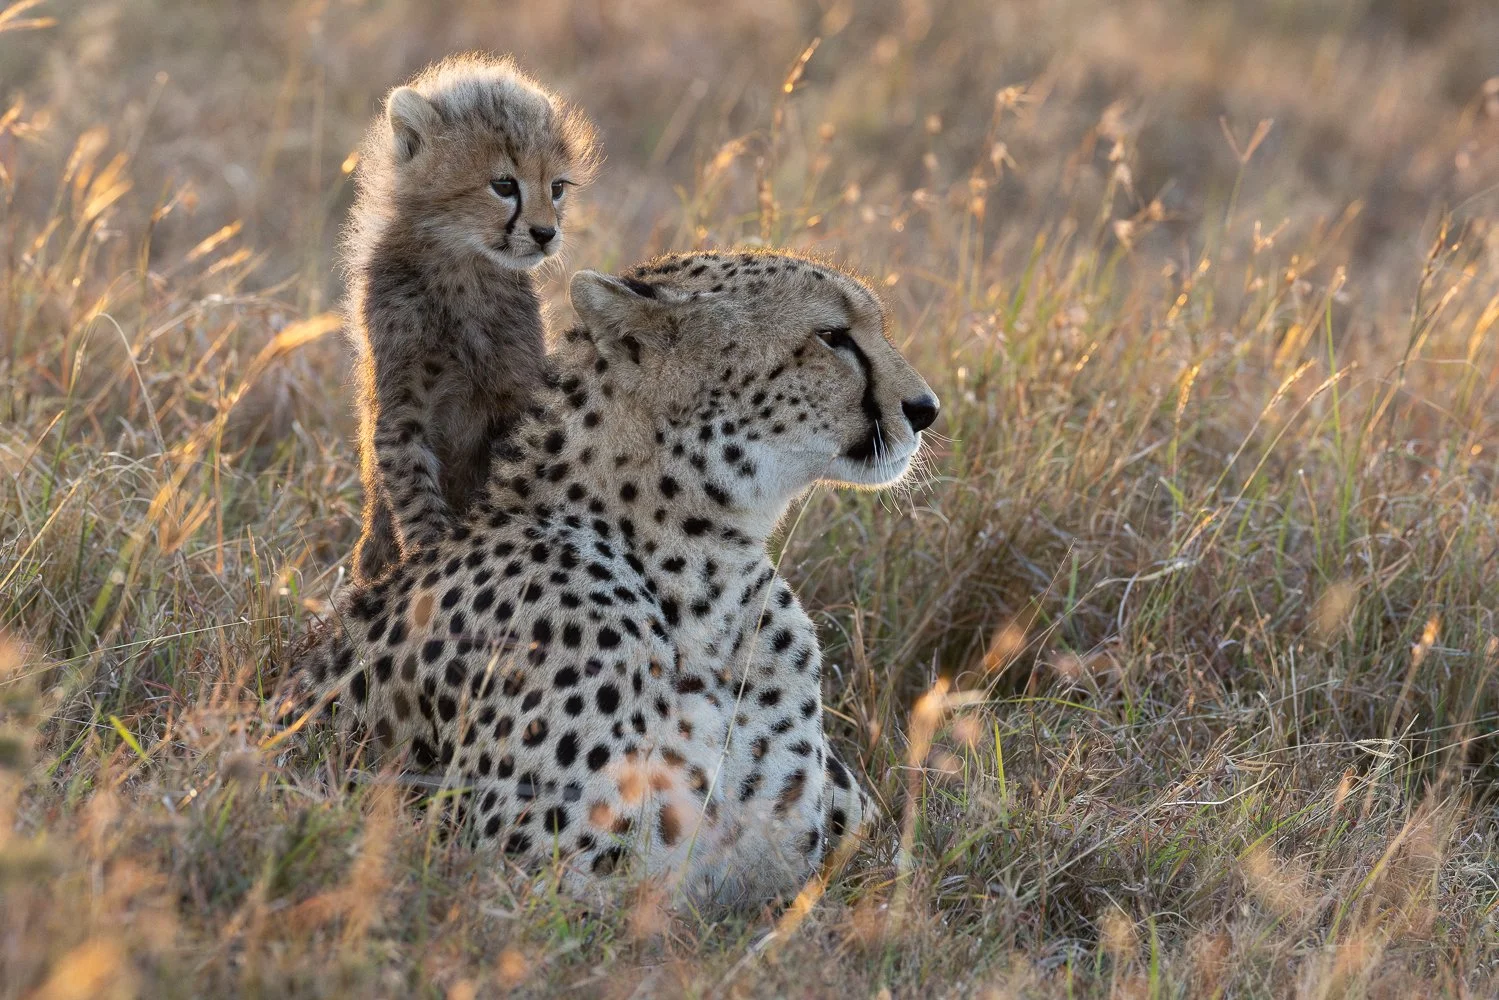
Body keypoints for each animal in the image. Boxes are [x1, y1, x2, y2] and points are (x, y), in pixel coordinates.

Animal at [344, 53, 600, 586]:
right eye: (503, 185)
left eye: (556, 188)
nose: (546, 233)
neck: (464, 268)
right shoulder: (403, 407)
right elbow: (415, 491)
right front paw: (429, 558)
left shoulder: (515, 398)